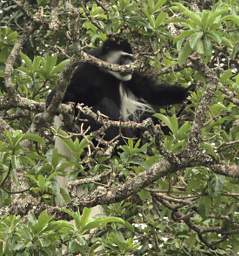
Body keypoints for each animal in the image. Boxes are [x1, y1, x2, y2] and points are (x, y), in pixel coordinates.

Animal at [47, 38, 189, 140]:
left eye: (131, 58)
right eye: (124, 57)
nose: (130, 65)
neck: (105, 72)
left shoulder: (131, 75)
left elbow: (150, 91)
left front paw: (189, 92)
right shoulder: (84, 67)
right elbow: (60, 95)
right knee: (104, 104)